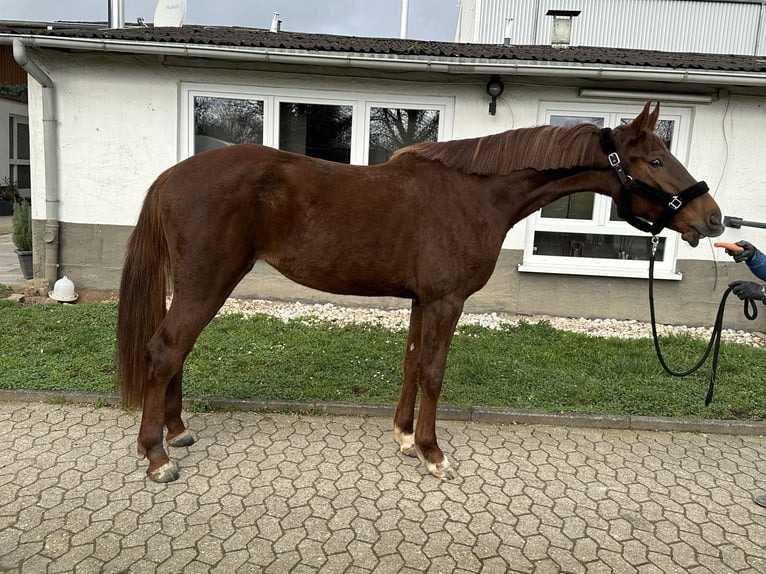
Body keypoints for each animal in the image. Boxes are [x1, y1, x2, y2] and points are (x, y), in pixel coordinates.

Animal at [117, 101, 724, 484]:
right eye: (656, 159)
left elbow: (411, 363)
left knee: (175, 353)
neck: (475, 196)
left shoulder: (421, 300)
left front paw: (406, 437)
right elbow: (433, 370)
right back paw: (156, 457)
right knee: (164, 350)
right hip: (207, 283)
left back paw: (177, 432)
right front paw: (434, 454)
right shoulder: (446, 301)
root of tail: (171, 176)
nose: (713, 218)